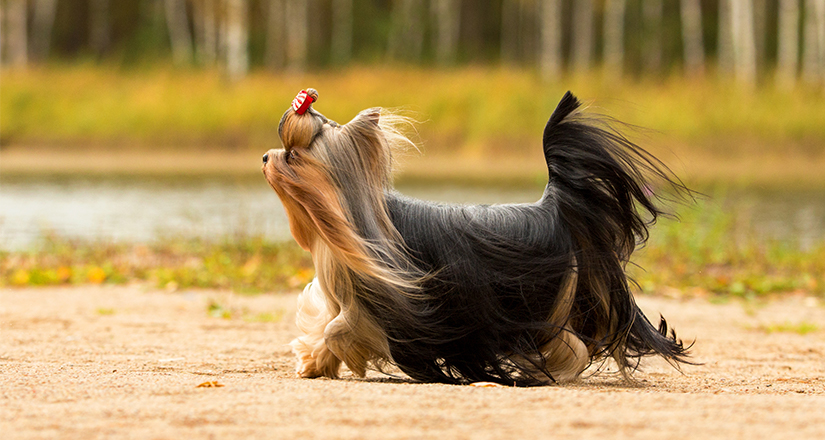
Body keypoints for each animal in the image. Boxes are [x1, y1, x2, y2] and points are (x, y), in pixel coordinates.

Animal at [262, 87, 688, 384]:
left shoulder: (383, 302)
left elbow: (338, 328)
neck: (342, 218)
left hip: (537, 304)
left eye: (293, 157)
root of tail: (550, 207)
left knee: (569, 344)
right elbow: (326, 322)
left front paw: (319, 358)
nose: (266, 157)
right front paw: (313, 362)